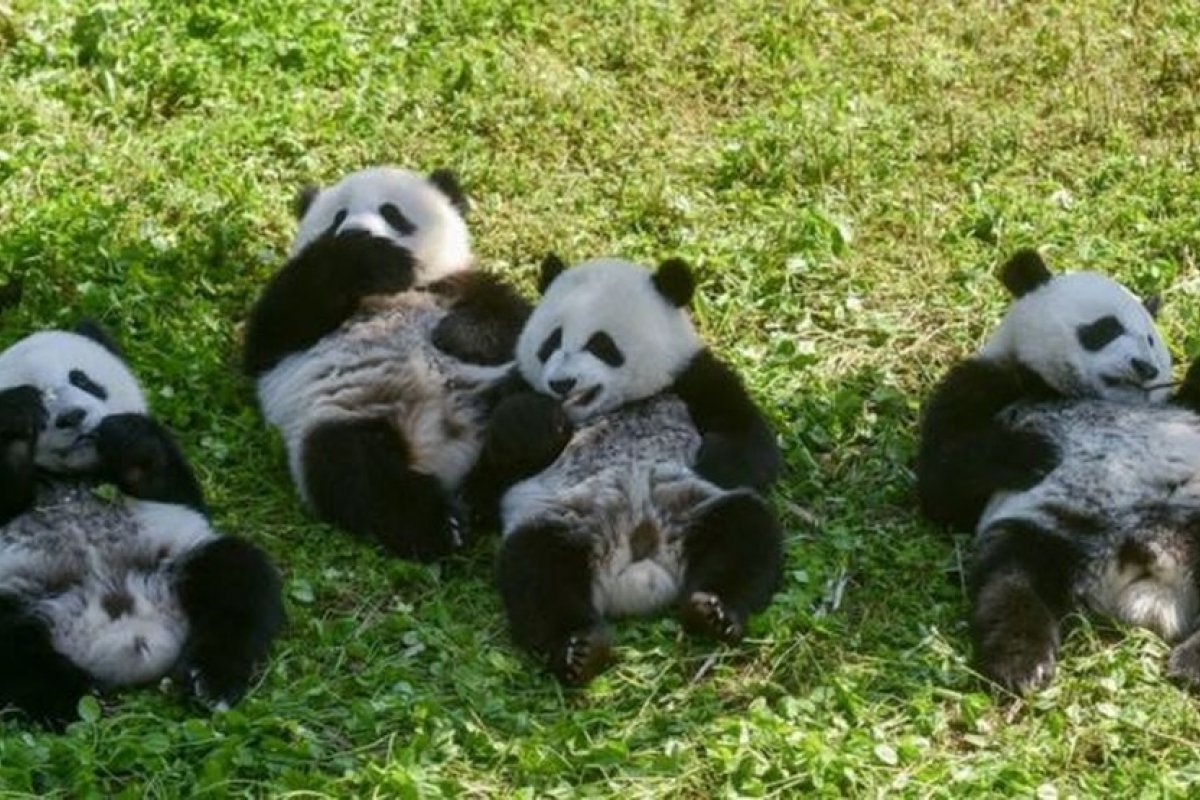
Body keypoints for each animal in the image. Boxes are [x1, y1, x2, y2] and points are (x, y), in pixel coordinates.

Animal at [0, 323, 284, 725]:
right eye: (40, 396)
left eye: (82, 379)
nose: (73, 416)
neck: (72, 476)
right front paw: (15, 424)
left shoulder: (171, 493)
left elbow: (171, 484)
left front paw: (124, 436)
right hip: (19, 596)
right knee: (12, 650)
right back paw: (74, 699)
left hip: (178, 559)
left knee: (236, 578)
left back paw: (207, 681)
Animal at [243, 166, 530, 561]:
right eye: (338, 217)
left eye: (392, 213)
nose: (356, 230)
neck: (390, 292)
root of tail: (448, 457)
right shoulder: (282, 341)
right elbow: (273, 330)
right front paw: (361, 254)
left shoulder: (458, 283)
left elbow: (514, 319)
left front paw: (455, 336)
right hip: (344, 416)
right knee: (353, 469)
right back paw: (444, 523)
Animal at [477, 254, 784, 685]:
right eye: (551, 342)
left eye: (600, 344)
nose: (561, 383)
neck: (614, 407)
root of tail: (638, 571)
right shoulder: (516, 390)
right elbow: (490, 477)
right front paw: (532, 422)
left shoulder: (691, 376)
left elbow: (753, 442)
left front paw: (708, 461)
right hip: (567, 520)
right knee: (536, 570)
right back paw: (580, 648)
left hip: (694, 508)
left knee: (745, 533)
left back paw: (714, 612)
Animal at [915, 248, 1200, 693]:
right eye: (1105, 328)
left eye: (1152, 339)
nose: (1145, 367)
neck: (1064, 391)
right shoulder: (987, 380)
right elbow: (941, 484)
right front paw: (1034, 453)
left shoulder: (1182, 410)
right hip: (1052, 530)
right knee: (1011, 582)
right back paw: (1022, 664)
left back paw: (1190, 662)